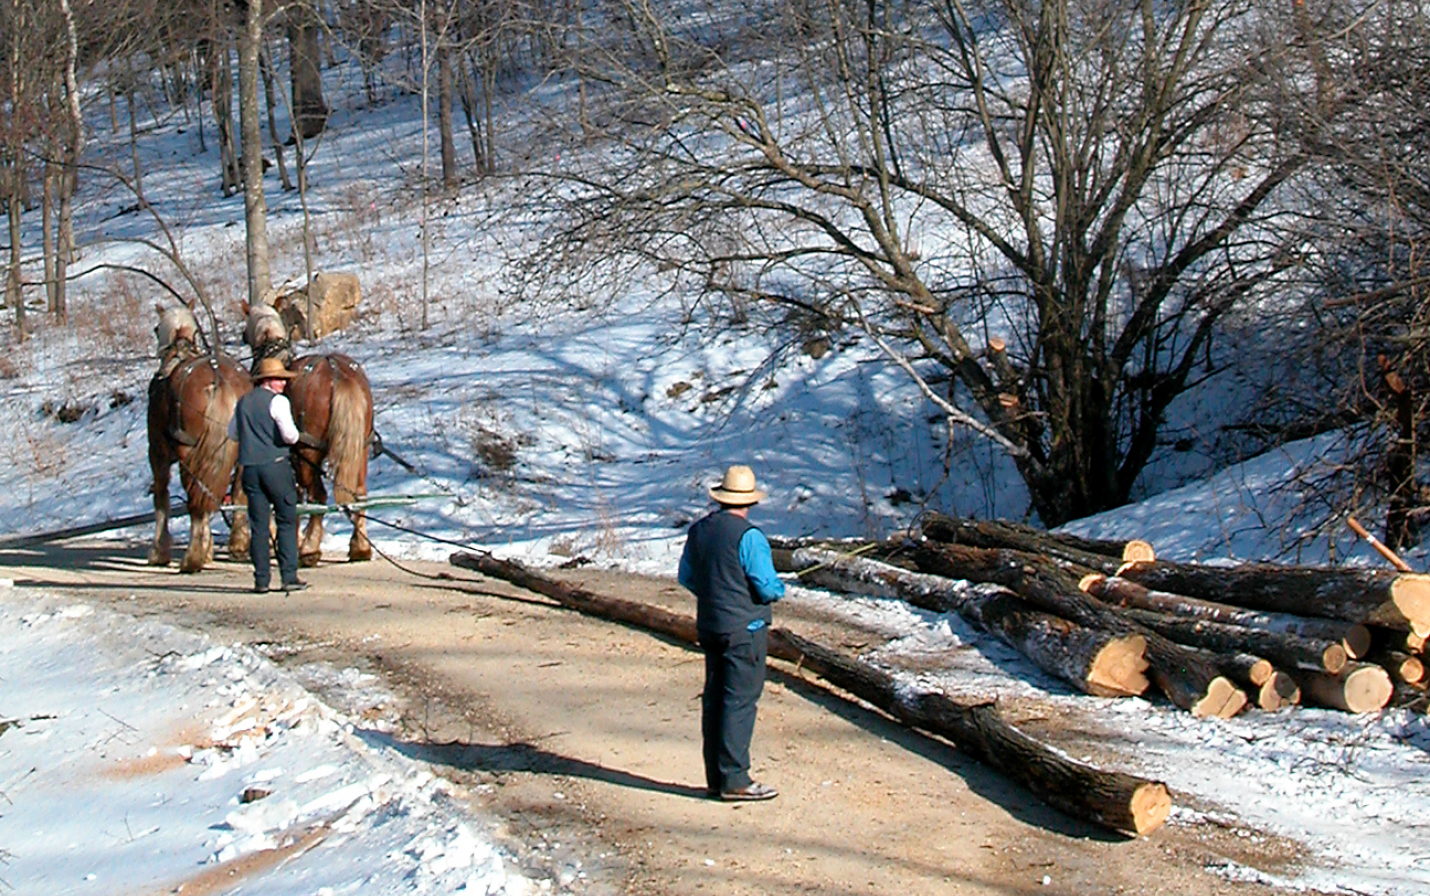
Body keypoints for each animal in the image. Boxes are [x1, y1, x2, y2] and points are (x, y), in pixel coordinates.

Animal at [149, 308, 255, 571]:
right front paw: (208, 550)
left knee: (196, 498)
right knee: (236, 493)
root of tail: (219, 379)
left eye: (156, 329)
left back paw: (192, 558)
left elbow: (161, 498)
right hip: (241, 453)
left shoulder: (157, 453)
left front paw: (159, 551)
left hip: (188, 452)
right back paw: (237, 545)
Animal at [243, 304, 374, 563]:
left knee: (318, 496)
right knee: (359, 493)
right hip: (360, 449)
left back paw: (310, 548)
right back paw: (360, 546)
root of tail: (338, 373)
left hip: (308, 453)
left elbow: (292, 497)